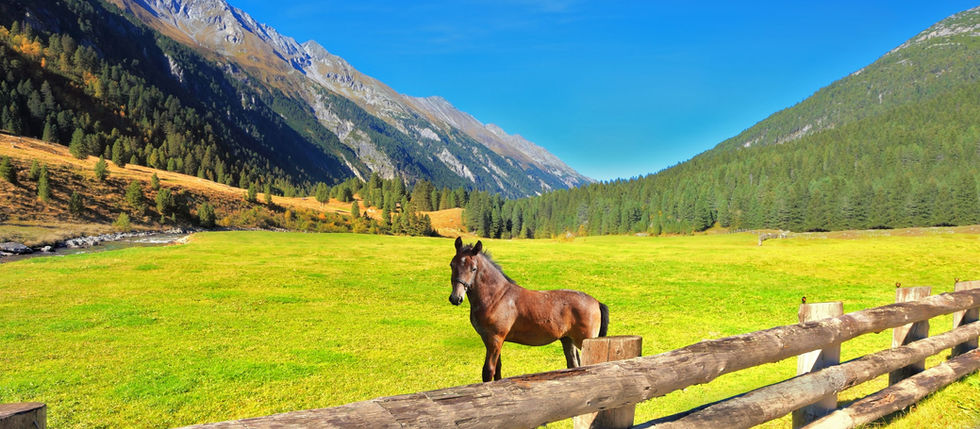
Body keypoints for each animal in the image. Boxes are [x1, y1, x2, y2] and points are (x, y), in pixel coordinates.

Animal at [448, 237, 609, 382]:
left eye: (473, 268)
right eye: (452, 265)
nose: (456, 298)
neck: (497, 297)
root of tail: (596, 302)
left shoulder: (495, 339)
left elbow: (488, 372)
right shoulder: (493, 341)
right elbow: (498, 370)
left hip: (585, 340)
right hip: (568, 340)